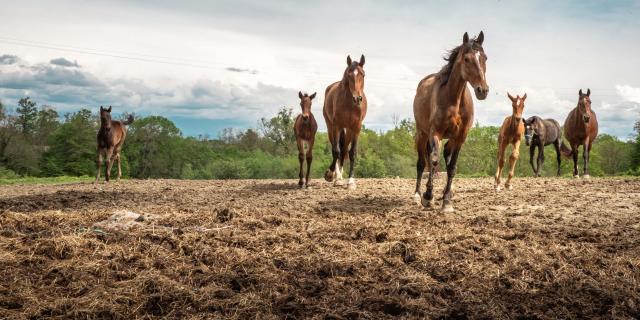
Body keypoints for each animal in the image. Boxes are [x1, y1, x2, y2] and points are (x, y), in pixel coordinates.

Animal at [322, 54, 368, 190]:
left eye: (363, 74)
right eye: (349, 74)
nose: (357, 98)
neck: (350, 104)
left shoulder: (356, 128)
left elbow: (351, 152)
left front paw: (351, 181)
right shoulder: (337, 126)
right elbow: (336, 151)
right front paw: (330, 175)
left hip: (348, 130)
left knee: (343, 150)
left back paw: (341, 176)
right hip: (330, 127)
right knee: (336, 148)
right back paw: (336, 176)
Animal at [412, 31, 488, 212]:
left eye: (485, 58)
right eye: (467, 59)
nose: (483, 90)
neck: (454, 99)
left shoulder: (460, 137)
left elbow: (452, 167)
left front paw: (446, 201)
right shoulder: (435, 133)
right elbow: (433, 161)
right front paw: (428, 196)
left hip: (450, 138)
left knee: (446, 156)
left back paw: (448, 191)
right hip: (422, 134)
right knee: (422, 163)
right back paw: (418, 194)